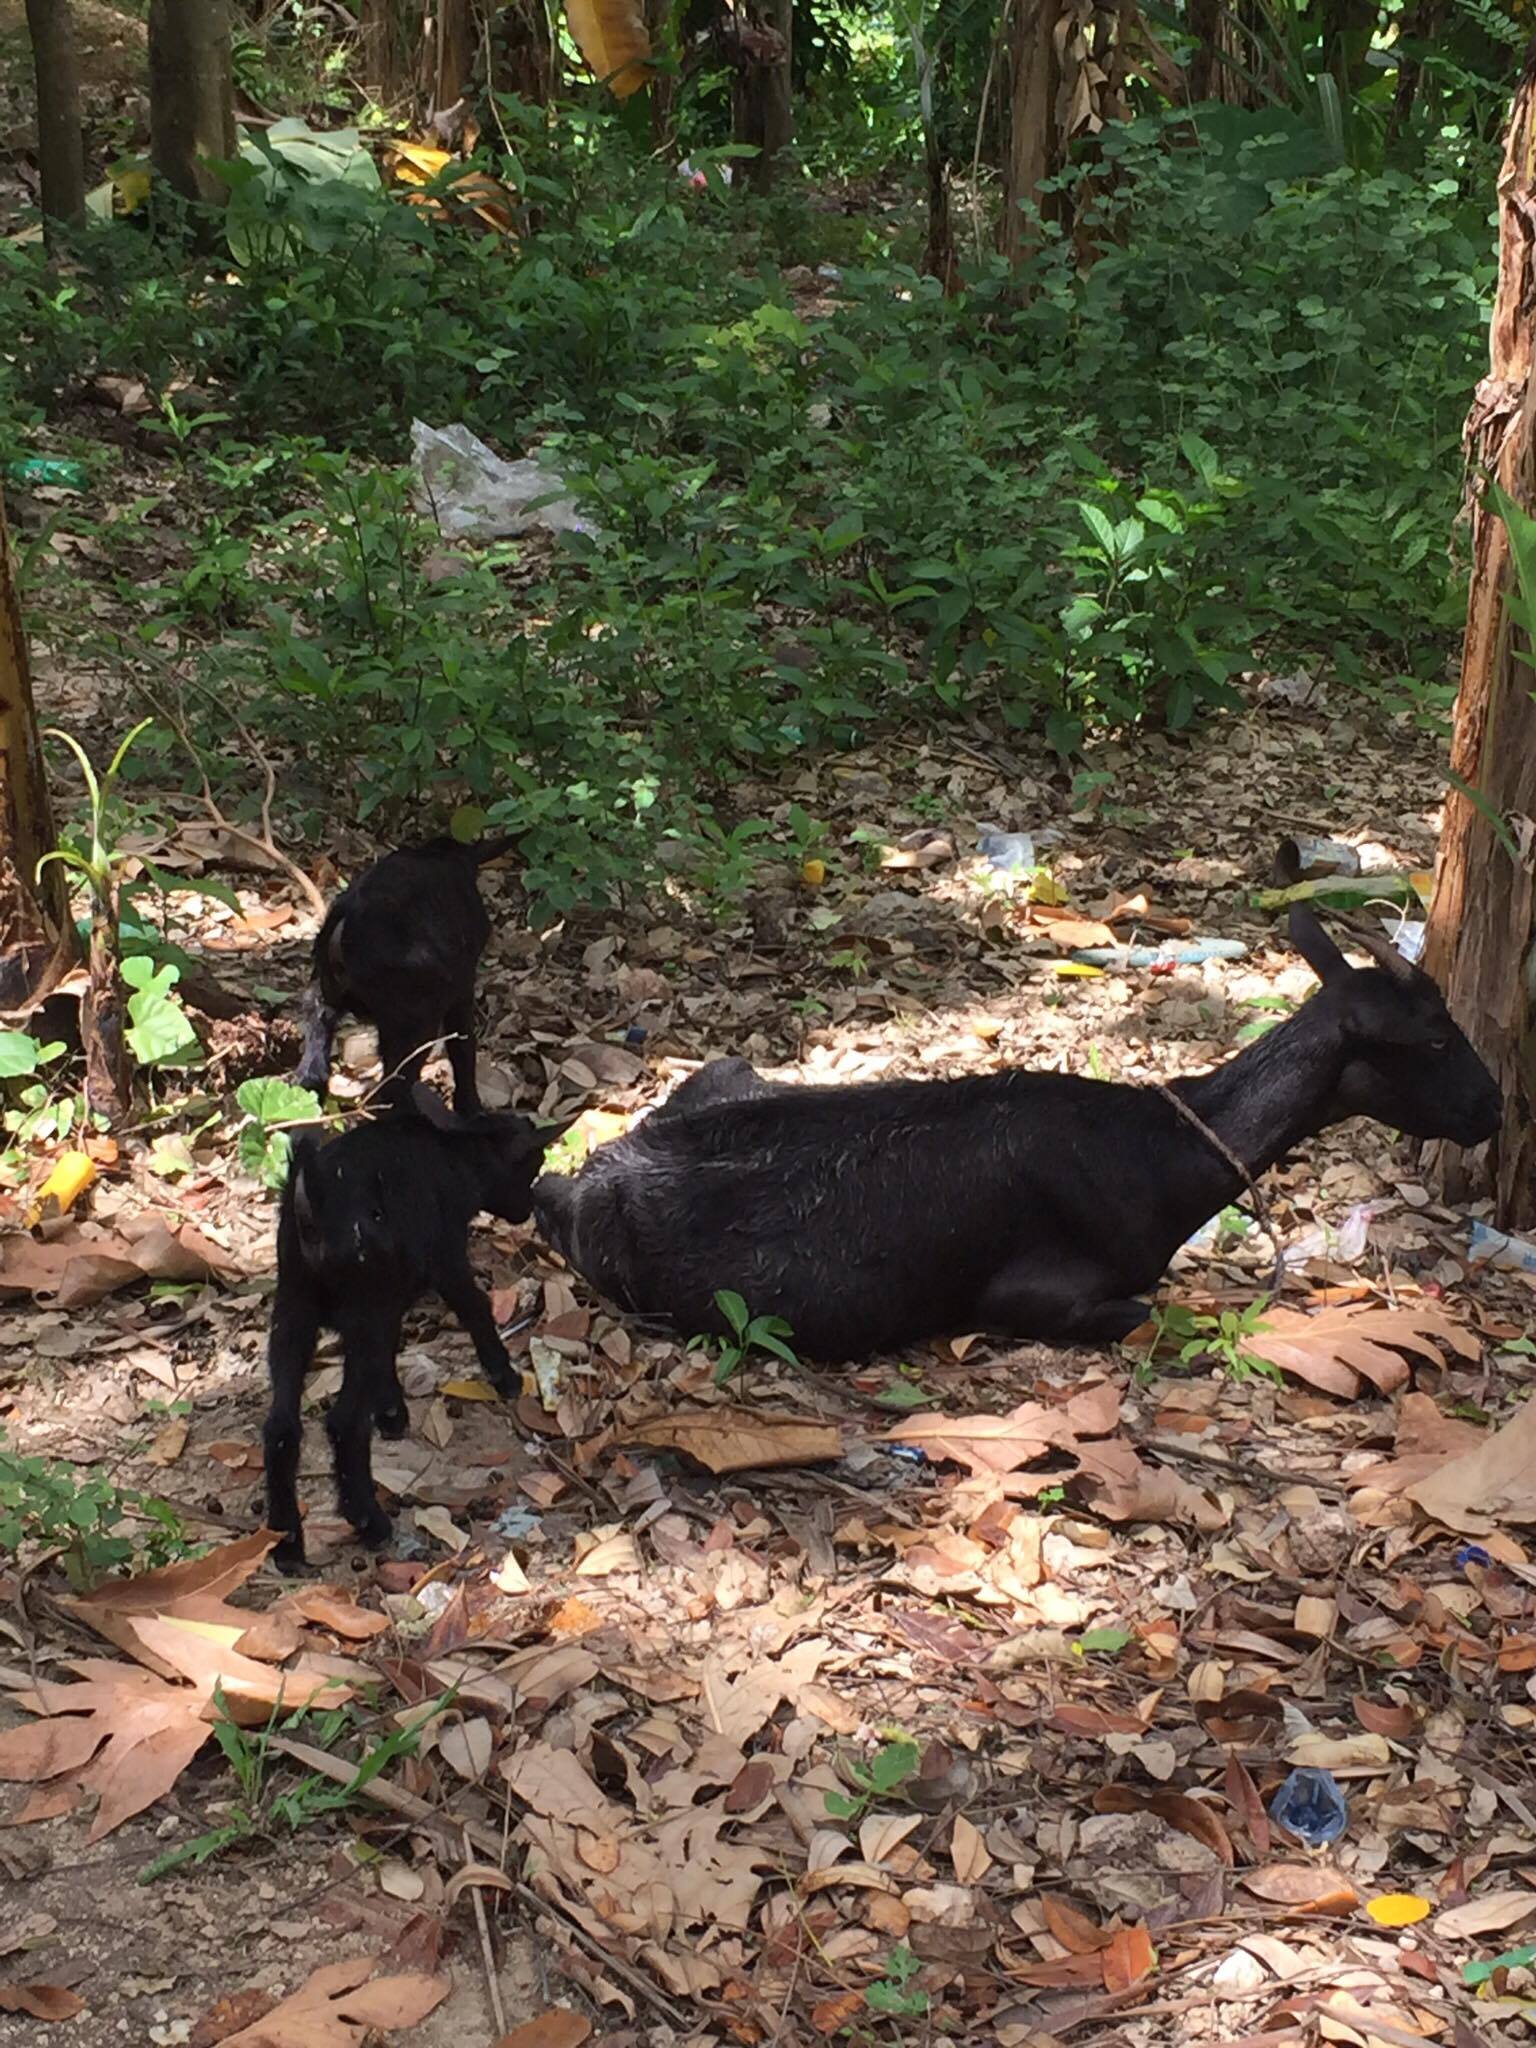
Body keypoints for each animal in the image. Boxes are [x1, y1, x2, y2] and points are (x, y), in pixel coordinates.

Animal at [262, 1084, 556, 1572]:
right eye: (534, 1162)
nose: (528, 1209)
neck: (453, 1154)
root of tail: (314, 1201)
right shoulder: (445, 1256)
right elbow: (474, 1306)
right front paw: (504, 1374)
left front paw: (392, 1411)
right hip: (365, 1306)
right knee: (343, 1422)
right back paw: (369, 1521)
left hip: (294, 1309)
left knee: (280, 1427)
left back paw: (286, 1544)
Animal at [294, 834, 517, 1113]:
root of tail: (347, 925)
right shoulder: (461, 988)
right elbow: (463, 1045)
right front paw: (471, 1108)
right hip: (414, 1022)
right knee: (394, 1088)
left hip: (324, 995)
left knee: (313, 1067)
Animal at [534, 881, 1500, 1360]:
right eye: (1434, 1037)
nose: (1493, 1107)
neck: (1164, 1151)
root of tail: (584, 1179)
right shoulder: (1028, 1291)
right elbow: (1139, 1313)